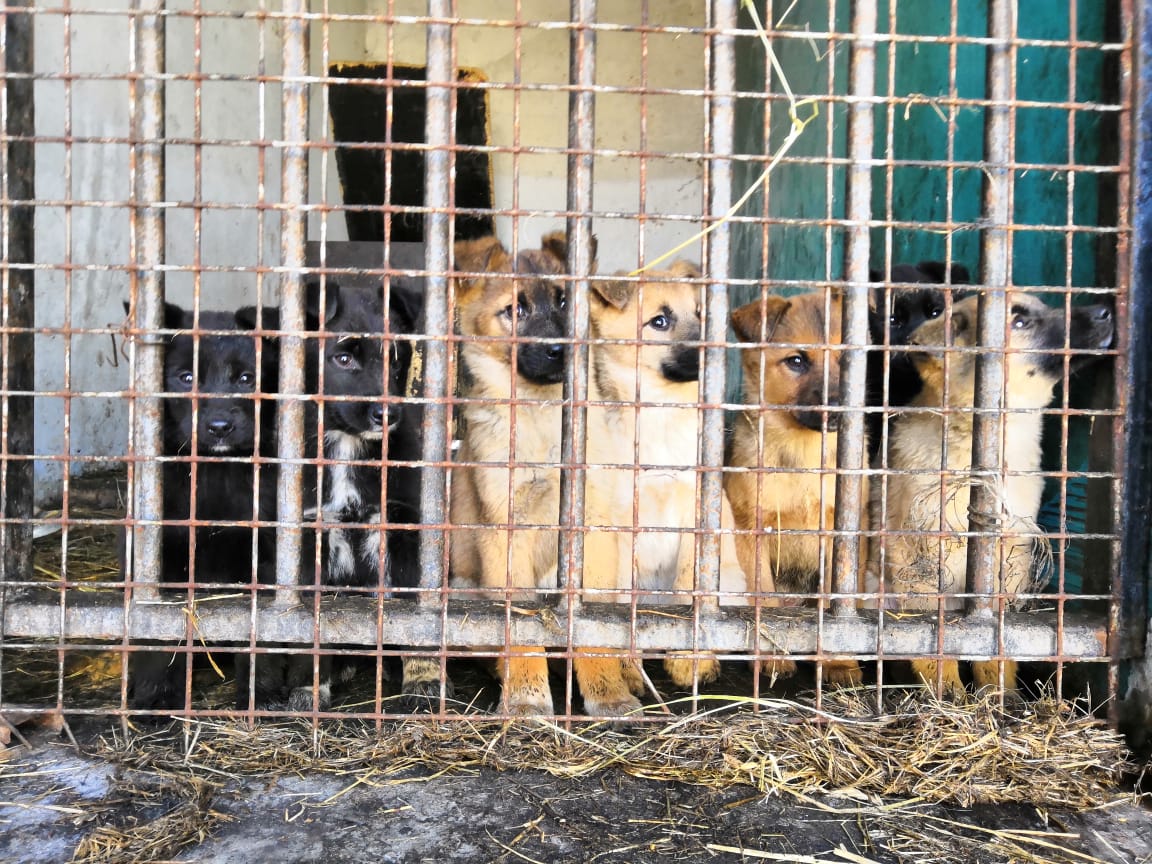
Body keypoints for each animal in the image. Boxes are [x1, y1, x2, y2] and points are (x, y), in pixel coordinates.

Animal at [127, 301, 278, 714]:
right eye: (186, 377)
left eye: (246, 378)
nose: (220, 426)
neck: (214, 472)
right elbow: (155, 631)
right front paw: (154, 696)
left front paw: (261, 696)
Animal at [446, 228, 594, 718]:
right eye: (515, 310)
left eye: (565, 300)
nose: (560, 351)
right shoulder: (504, 527)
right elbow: (521, 626)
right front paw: (527, 697)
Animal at [585, 263, 746, 709]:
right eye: (659, 321)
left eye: (703, 314)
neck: (659, 416)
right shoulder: (620, 523)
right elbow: (620, 603)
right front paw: (627, 668)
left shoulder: (696, 512)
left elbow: (690, 588)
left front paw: (691, 661)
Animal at [723, 294, 866, 686]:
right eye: (797, 361)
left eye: (847, 361)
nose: (838, 411)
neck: (803, 454)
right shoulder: (750, 529)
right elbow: (767, 600)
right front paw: (773, 659)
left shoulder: (837, 536)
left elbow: (833, 607)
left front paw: (839, 662)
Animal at [870, 294, 1115, 700]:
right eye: (1018, 322)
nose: (1106, 310)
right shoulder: (919, 564)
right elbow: (934, 642)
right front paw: (949, 697)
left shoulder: (1011, 555)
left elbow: (998, 640)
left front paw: (1001, 695)